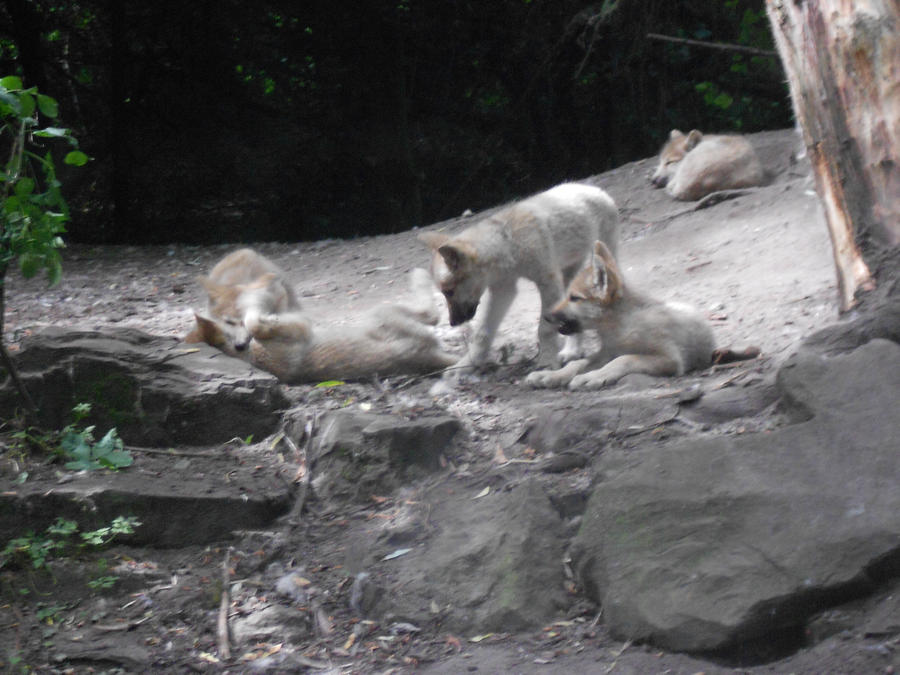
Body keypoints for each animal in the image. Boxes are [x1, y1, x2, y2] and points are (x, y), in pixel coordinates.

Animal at [189, 270, 458, 386]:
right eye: (229, 321)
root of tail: (426, 357)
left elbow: (254, 318)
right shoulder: (299, 325)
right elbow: (255, 320)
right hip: (382, 312)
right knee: (433, 314)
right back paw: (421, 275)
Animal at [416, 184, 620, 374]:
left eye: (449, 291)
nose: (453, 323)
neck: (508, 243)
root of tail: (593, 188)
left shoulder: (547, 282)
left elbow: (544, 329)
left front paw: (547, 362)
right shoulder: (503, 290)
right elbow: (483, 333)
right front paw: (467, 365)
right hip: (567, 279)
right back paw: (572, 351)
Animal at [524, 243, 712, 390]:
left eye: (574, 298)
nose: (546, 316)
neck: (622, 328)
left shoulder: (670, 359)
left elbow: (623, 360)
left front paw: (592, 377)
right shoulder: (606, 352)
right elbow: (576, 363)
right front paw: (552, 375)